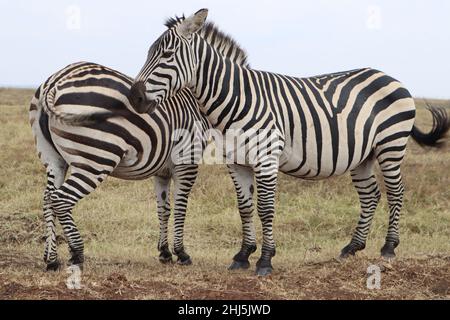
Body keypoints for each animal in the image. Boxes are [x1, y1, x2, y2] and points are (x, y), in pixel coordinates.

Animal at [30, 60, 211, 270]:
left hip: (54, 159)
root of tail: (55, 80)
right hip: (95, 160)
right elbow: (181, 208)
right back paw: (77, 253)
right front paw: (181, 252)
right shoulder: (186, 161)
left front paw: (164, 252)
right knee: (60, 199)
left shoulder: (162, 171)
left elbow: (164, 209)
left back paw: (51, 259)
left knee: (48, 199)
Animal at [128, 8, 448, 276]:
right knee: (371, 195)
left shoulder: (266, 158)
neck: (236, 98)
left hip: (390, 146)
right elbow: (245, 207)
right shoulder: (236, 161)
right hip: (362, 155)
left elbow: (266, 208)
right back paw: (352, 247)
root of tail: (390, 76)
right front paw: (243, 255)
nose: (135, 97)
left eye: (168, 54)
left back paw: (389, 247)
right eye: (149, 53)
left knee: (396, 193)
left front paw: (265, 260)